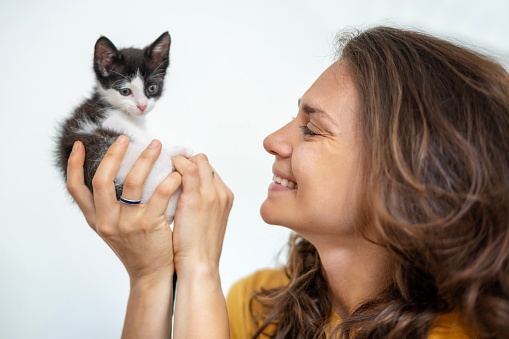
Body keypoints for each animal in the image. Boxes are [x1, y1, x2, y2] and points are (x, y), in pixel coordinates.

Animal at [55, 31, 190, 223]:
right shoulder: (108, 119)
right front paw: (177, 149)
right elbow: (145, 137)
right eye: (125, 91)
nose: (142, 106)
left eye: (152, 88)